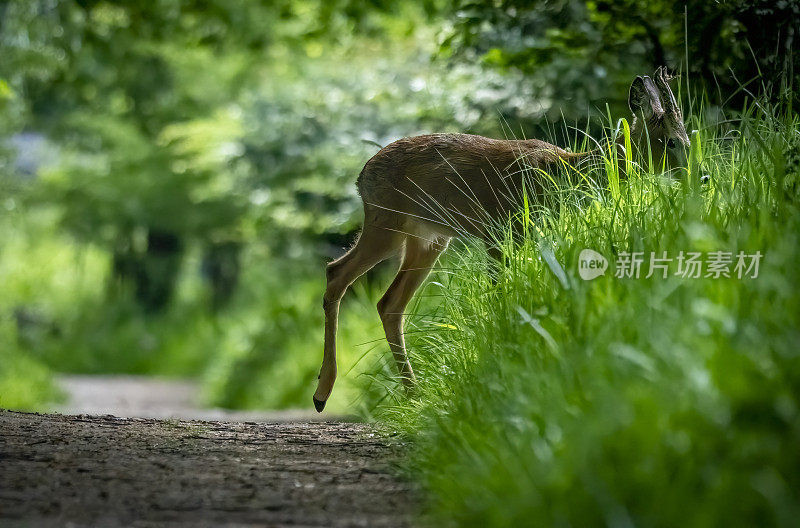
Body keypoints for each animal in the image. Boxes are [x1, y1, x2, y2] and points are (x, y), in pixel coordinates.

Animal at [314, 67, 692, 412]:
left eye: (689, 140)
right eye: (671, 141)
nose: (696, 175)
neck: (566, 174)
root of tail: (362, 176)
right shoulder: (500, 230)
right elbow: (499, 293)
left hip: (429, 239)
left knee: (389, 303)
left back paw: (413, 395)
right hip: (387, 223)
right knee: (337, 273)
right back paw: (323, 393)